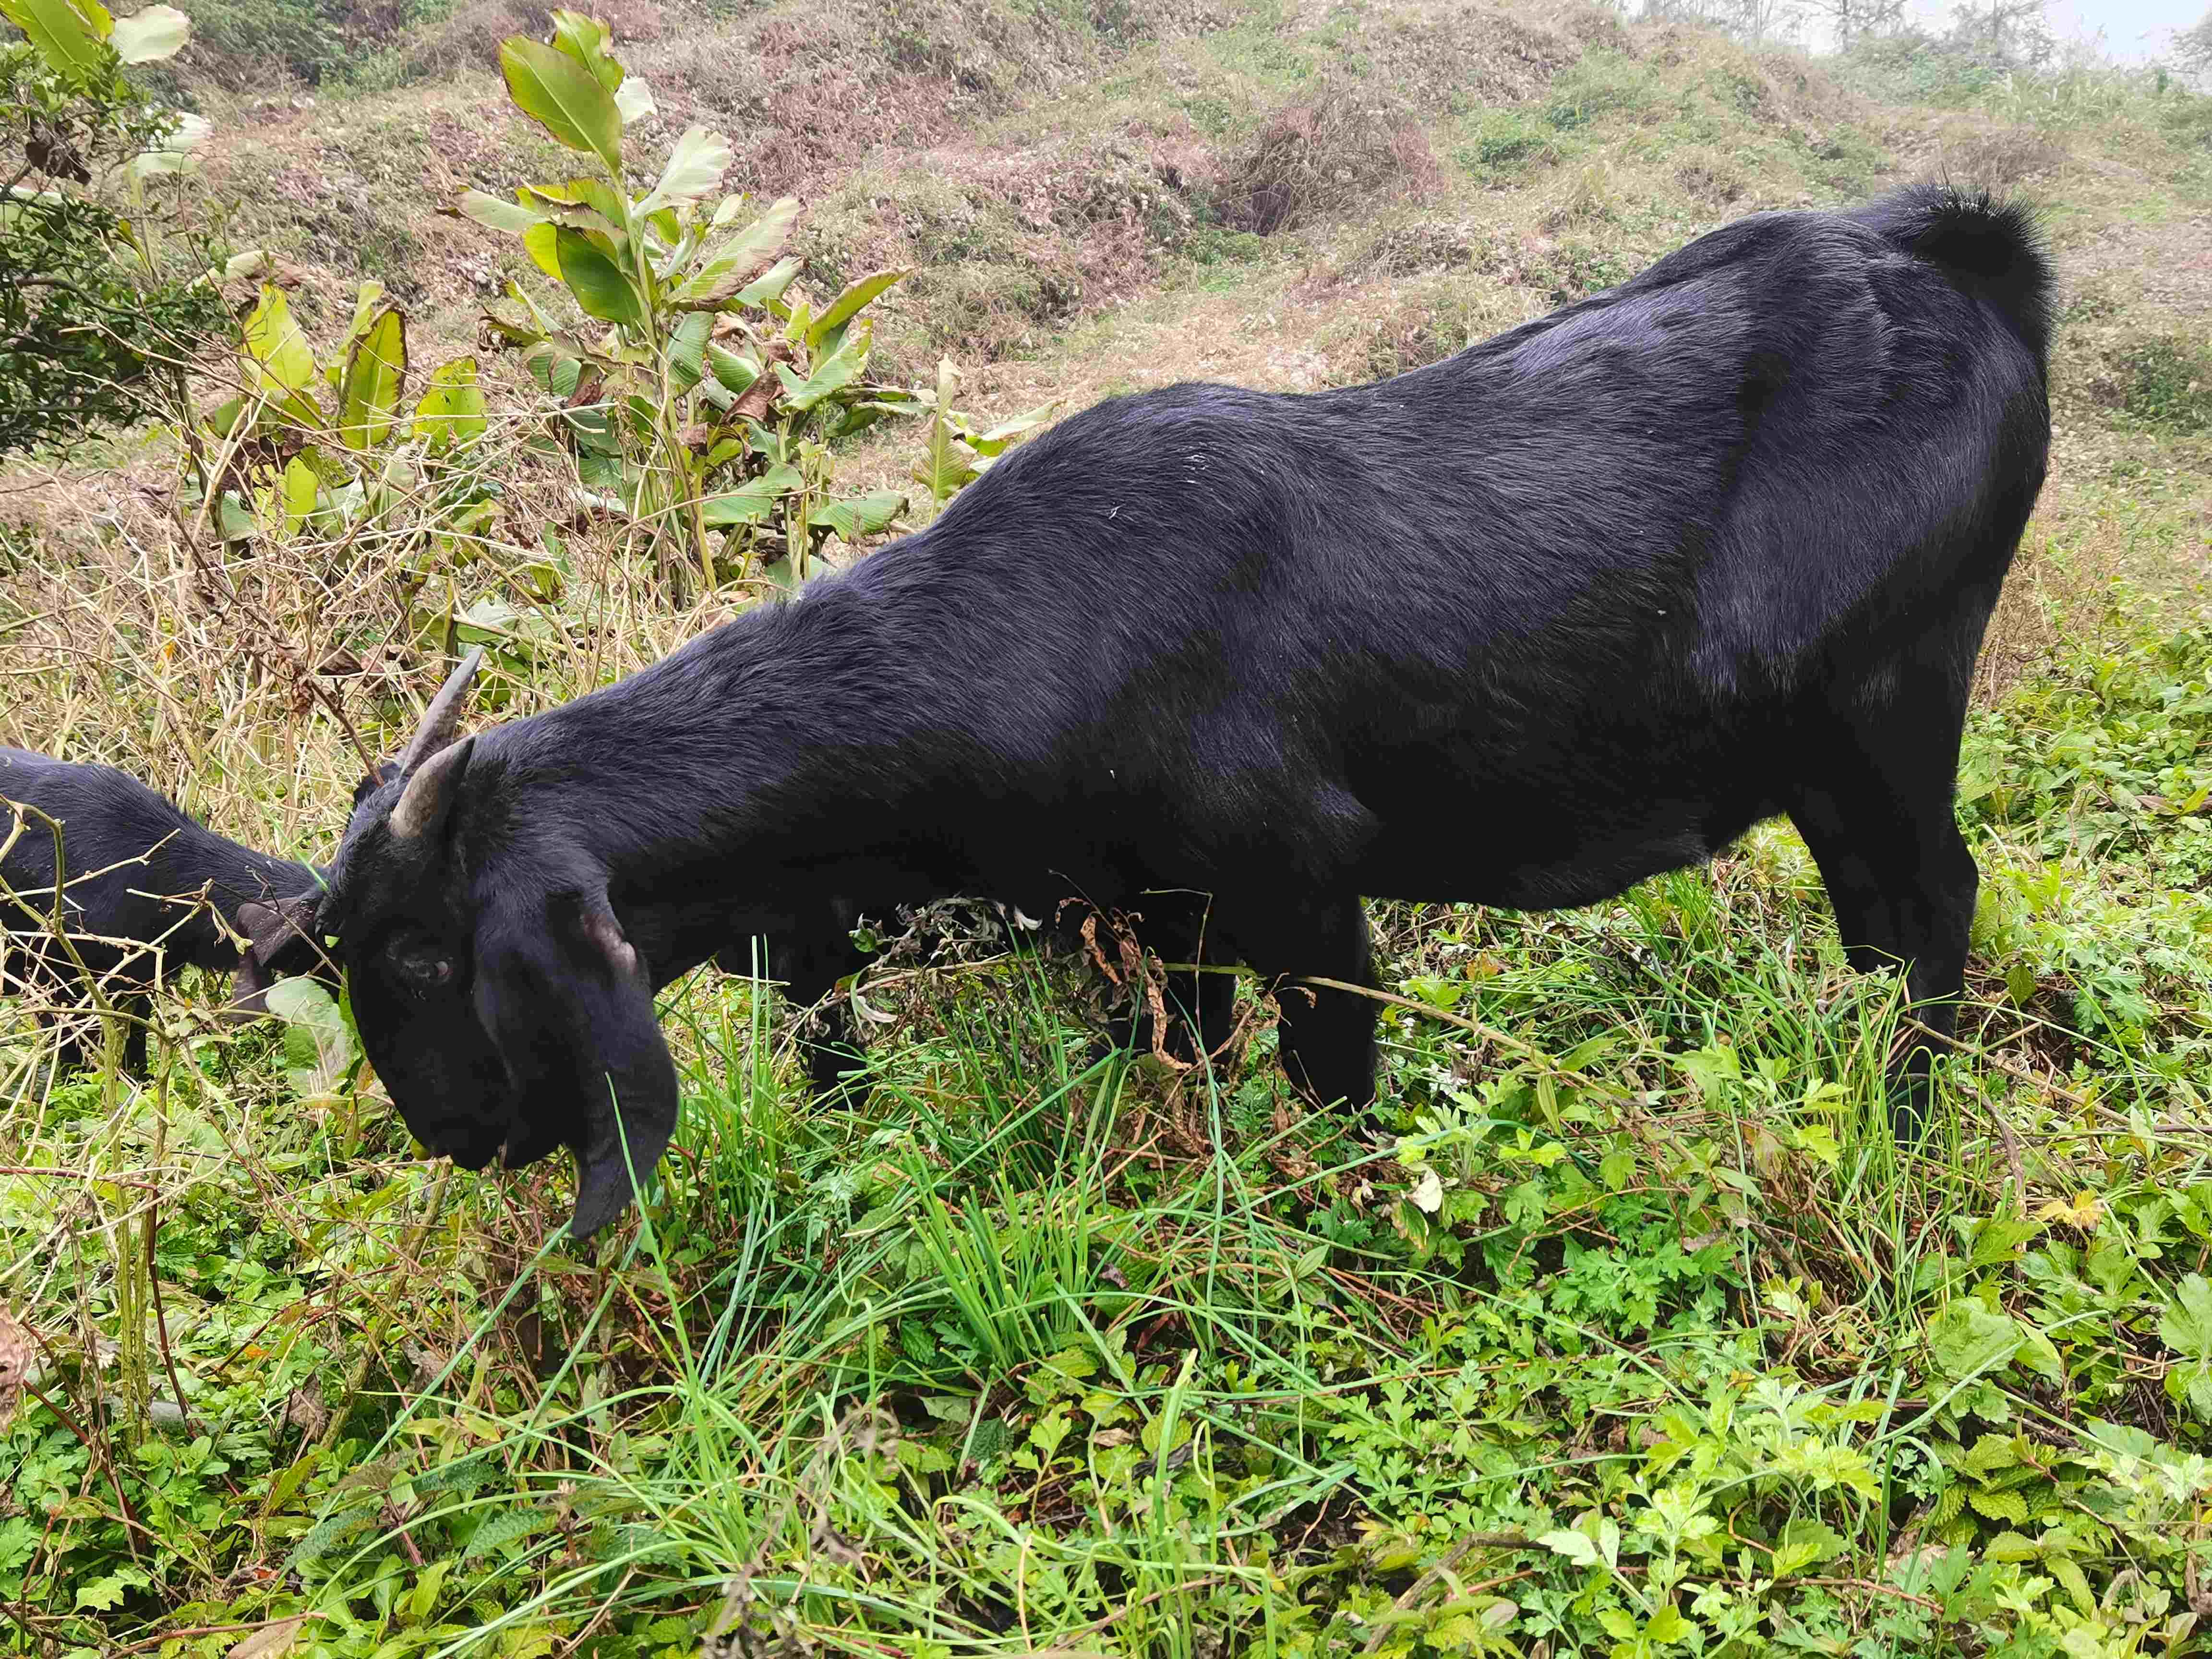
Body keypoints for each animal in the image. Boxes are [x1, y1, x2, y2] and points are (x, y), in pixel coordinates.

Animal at [316, 188, 2053, 1238]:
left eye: (428, 953)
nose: (448, 1132)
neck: (1023, 620)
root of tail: (1957, 253)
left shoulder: (1300, 880)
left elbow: (1333, 1079)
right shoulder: (1146, 921)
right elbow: (1184, 1067)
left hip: (1888, 706)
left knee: (1932, 902)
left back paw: (1904, 1134)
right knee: (1878, 923)